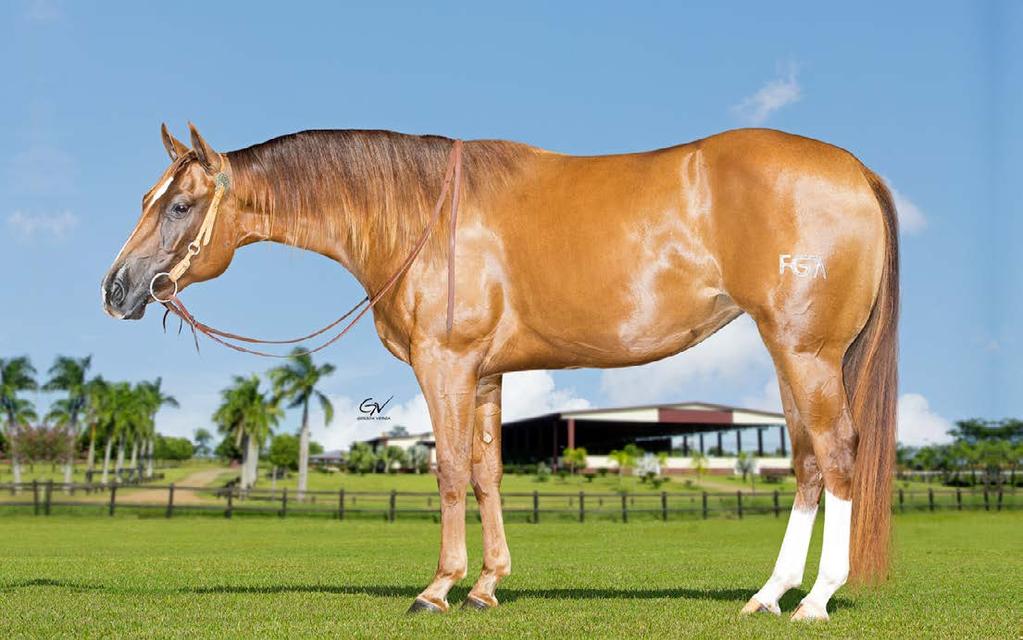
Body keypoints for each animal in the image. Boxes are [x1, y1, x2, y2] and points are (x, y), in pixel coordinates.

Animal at [101, 124, 896, 617]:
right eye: (145, 200)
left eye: (181, 205)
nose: (117, 289)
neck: (421, 212)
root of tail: (854, 169)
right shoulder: (486, 376)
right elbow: (488, 472)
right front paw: (486, 586)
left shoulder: (445, 366)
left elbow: (450, 469)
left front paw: (439, 588)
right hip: (790, 355)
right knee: (807, 464)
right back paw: (770, 594)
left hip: (805, 352)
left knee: (837, 455)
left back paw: (816, 600)